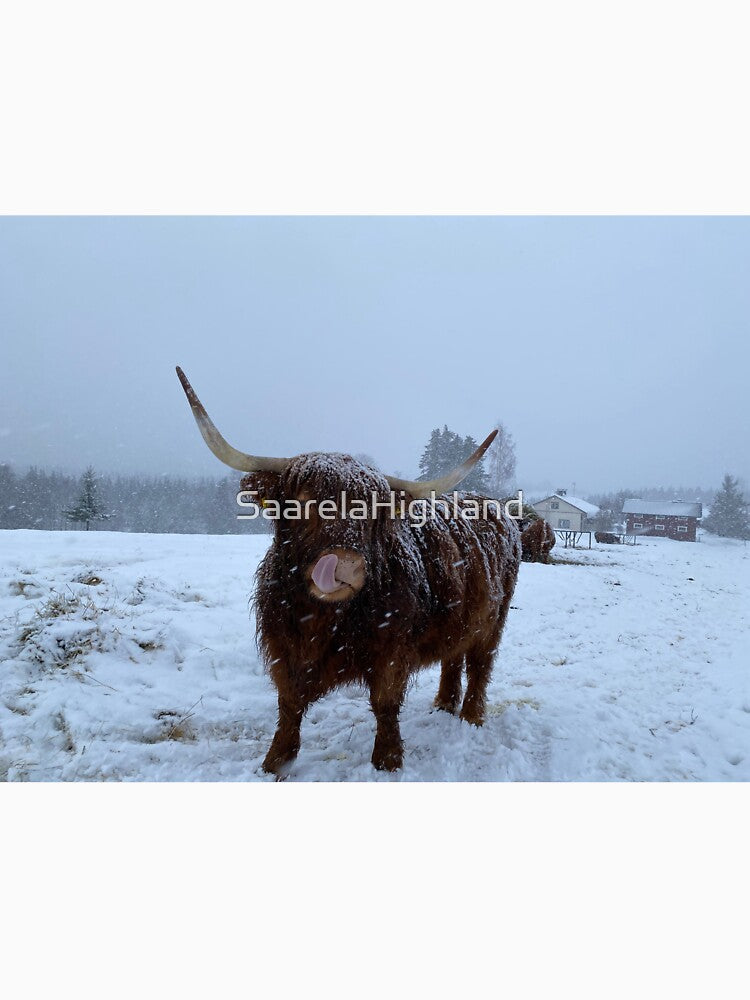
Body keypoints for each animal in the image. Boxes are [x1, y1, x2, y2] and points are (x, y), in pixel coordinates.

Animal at [176, 368, 521, 775]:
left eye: (372, 511)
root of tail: (494, 506)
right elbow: (288, 703)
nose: (345, 565)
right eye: (304, 501)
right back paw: (443, 706)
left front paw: (388, 760)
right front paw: (277, 761)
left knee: (481, 663)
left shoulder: (392, 648)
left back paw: (471, 717)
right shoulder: (281, 644)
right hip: (461, 617)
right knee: (453, 656)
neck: (321, 620)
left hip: (495, 619)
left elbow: (385, 703)